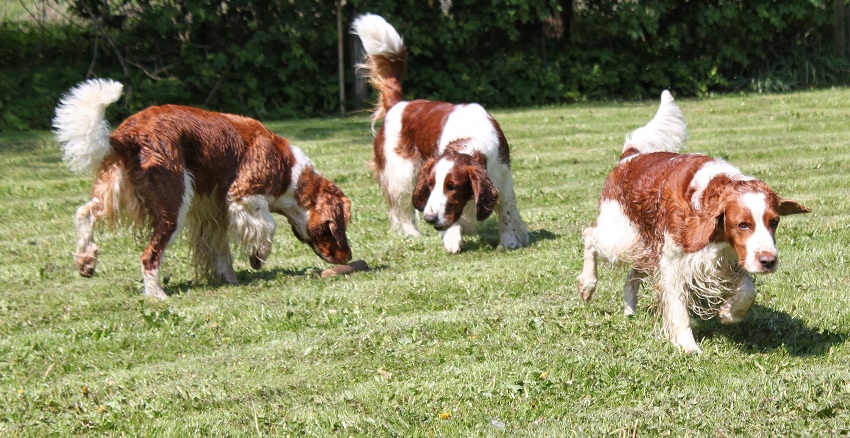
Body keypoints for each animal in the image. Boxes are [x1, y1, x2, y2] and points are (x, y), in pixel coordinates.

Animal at [53, 79, 352, 299]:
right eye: (337, 226)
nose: (348, 257)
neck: (290, 171)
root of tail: (128, 134)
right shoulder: (243, 194)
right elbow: (268, 225)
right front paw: (258, 255)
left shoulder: (213, 210)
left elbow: (220, 251)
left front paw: (229, 278)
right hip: (173, 205)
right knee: (149, 256)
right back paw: (157, 295)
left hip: (117, 191)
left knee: (84, 212)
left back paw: (85, 260)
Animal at [351, 13, 529, 253]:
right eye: (430, 185)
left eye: (452, 186)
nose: (430, 218)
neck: (470, 137)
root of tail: (399, 105)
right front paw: (452, 237)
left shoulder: (502, 175)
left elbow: (507, 210)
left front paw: (509, 240)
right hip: (401, 173)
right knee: (402, 209)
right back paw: (412, 233)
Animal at [576, 91, 810, 353]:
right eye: (743, 224)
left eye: (774, 221)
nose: (768, 262)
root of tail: (630, 157)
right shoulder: (674, 261)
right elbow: (678, 308)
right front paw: (688, 346)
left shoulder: (730, 259)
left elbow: (748, 290)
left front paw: (729, 313)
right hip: (620, 237)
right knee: (590, 236)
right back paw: (587, 285)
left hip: (644, 246)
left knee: (632, 274)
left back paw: (629, 308)